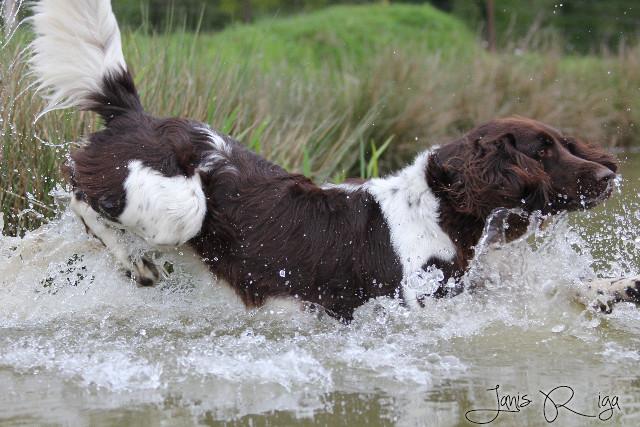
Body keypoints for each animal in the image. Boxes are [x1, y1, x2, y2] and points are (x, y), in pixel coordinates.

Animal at [30, 0, 623, 320]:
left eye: (565, 142)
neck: (436, 213)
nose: (609, 174)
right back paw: (132, 260)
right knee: (79, 188)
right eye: (542, 151)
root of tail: (135, 114)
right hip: (179, 207)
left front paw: (609, 291)